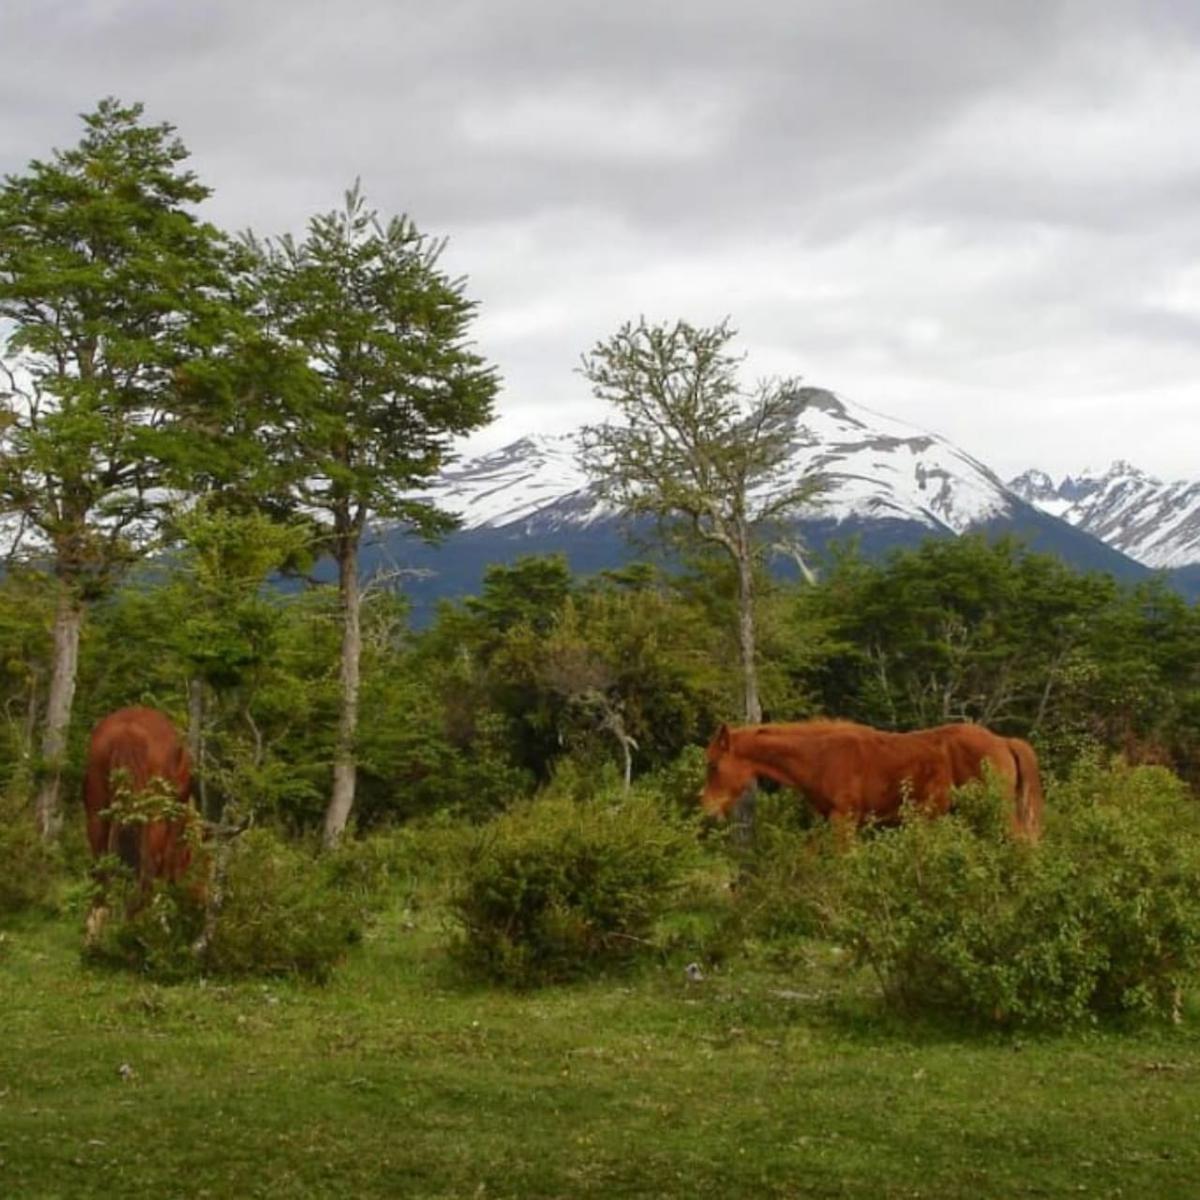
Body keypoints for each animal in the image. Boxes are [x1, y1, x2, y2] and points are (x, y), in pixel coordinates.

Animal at [84, 700, 198, 936]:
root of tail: (128, 734)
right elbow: (165, 861)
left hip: (97, 811)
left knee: (101, 867)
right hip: (153, 815)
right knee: (148, 868)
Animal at [700, 715, 1041, 840]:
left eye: (712, 765)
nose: (707, 809)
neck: (822, 756)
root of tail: (1003, 742)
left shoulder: (844, 819)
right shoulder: (829, 821)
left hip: (999, 813)